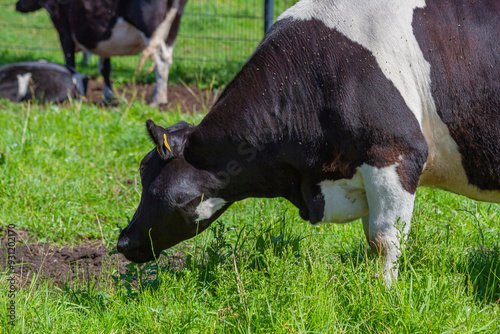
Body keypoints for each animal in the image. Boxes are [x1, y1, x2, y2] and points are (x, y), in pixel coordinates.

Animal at [16, 0, 188, 105]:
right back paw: (156, 96)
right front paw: (108, 96)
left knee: (161, 61)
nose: (17, 5)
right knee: (167, 58)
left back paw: (157, 100)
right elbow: (105, 68)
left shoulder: (64, 31)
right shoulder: (103, 41)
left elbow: (70, 64)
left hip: (150, 29)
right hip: (172, 29)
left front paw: (76, 96)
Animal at [115, 0, 498, 284]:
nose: (124, 241)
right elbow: (371, 239)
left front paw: (384, 295)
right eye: (141, 170)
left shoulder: (395, 154)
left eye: (182, 200)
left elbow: (384, 240)